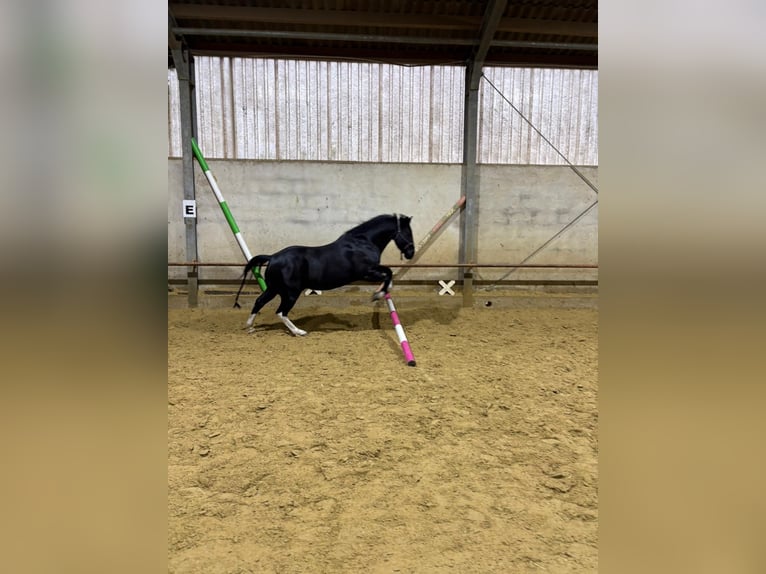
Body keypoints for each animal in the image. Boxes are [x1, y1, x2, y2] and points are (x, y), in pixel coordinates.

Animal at [233, 213, 415, 336]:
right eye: (408, 232)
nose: (411, 253)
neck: (362, 242)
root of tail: (273, 257)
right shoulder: (366, 273)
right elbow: (388, 273)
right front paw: (379, 294)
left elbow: (388, 273)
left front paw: (382, 291)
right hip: (290, 292)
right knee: (281, 312)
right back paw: (299, 331)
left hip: (274, 289)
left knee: (259, 302)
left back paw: (250, 327)